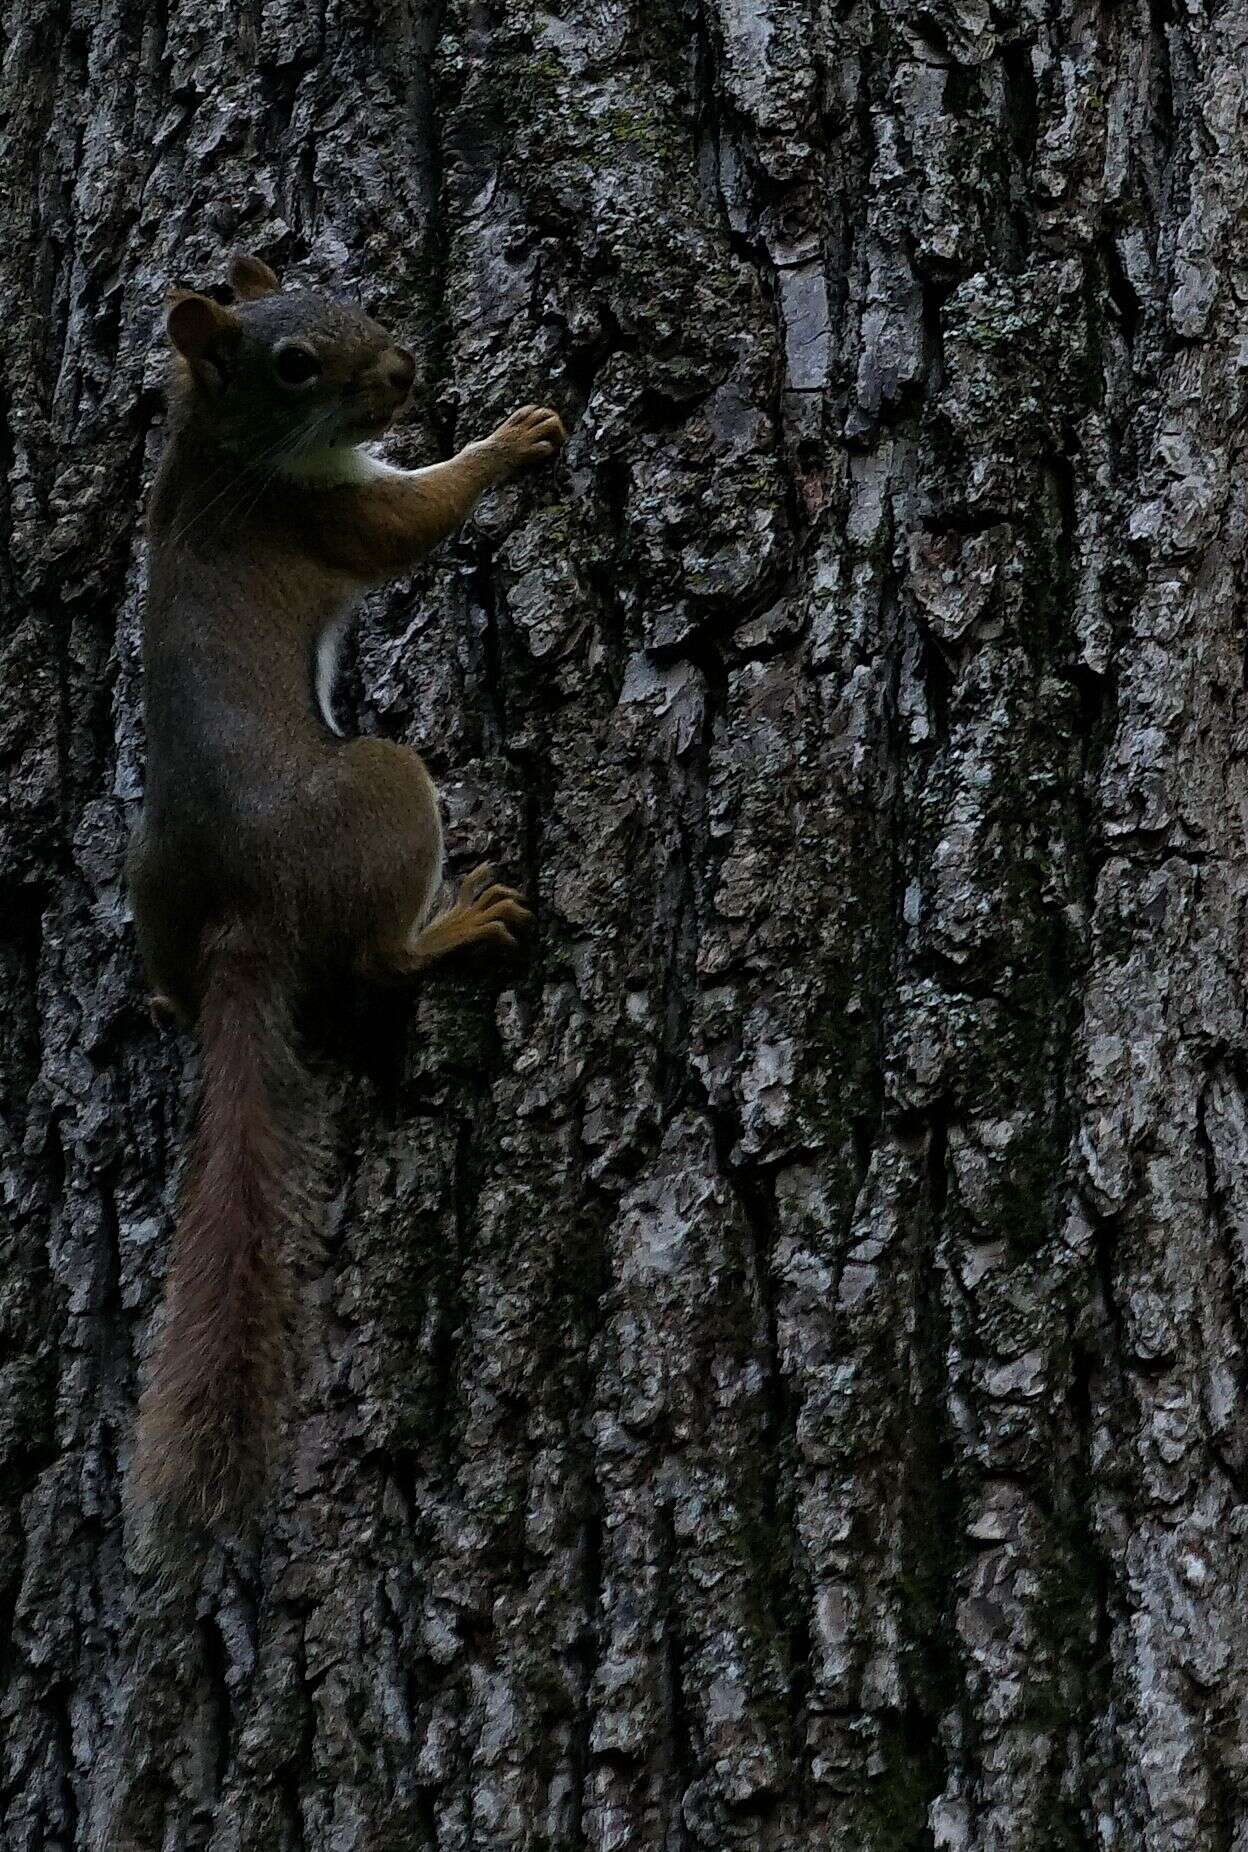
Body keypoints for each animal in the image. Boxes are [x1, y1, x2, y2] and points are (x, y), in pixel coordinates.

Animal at [124, 253, 562, 1540]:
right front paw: (511, 439)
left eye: (352, 297)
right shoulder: (328, 515)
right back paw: (459, 922)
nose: (407, 370)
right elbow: (420, 514)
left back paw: (167, 1001)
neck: (223, 447)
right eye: (294, 365)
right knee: (376, 958)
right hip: (381, 791)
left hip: (151, 885)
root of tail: (240, 916)